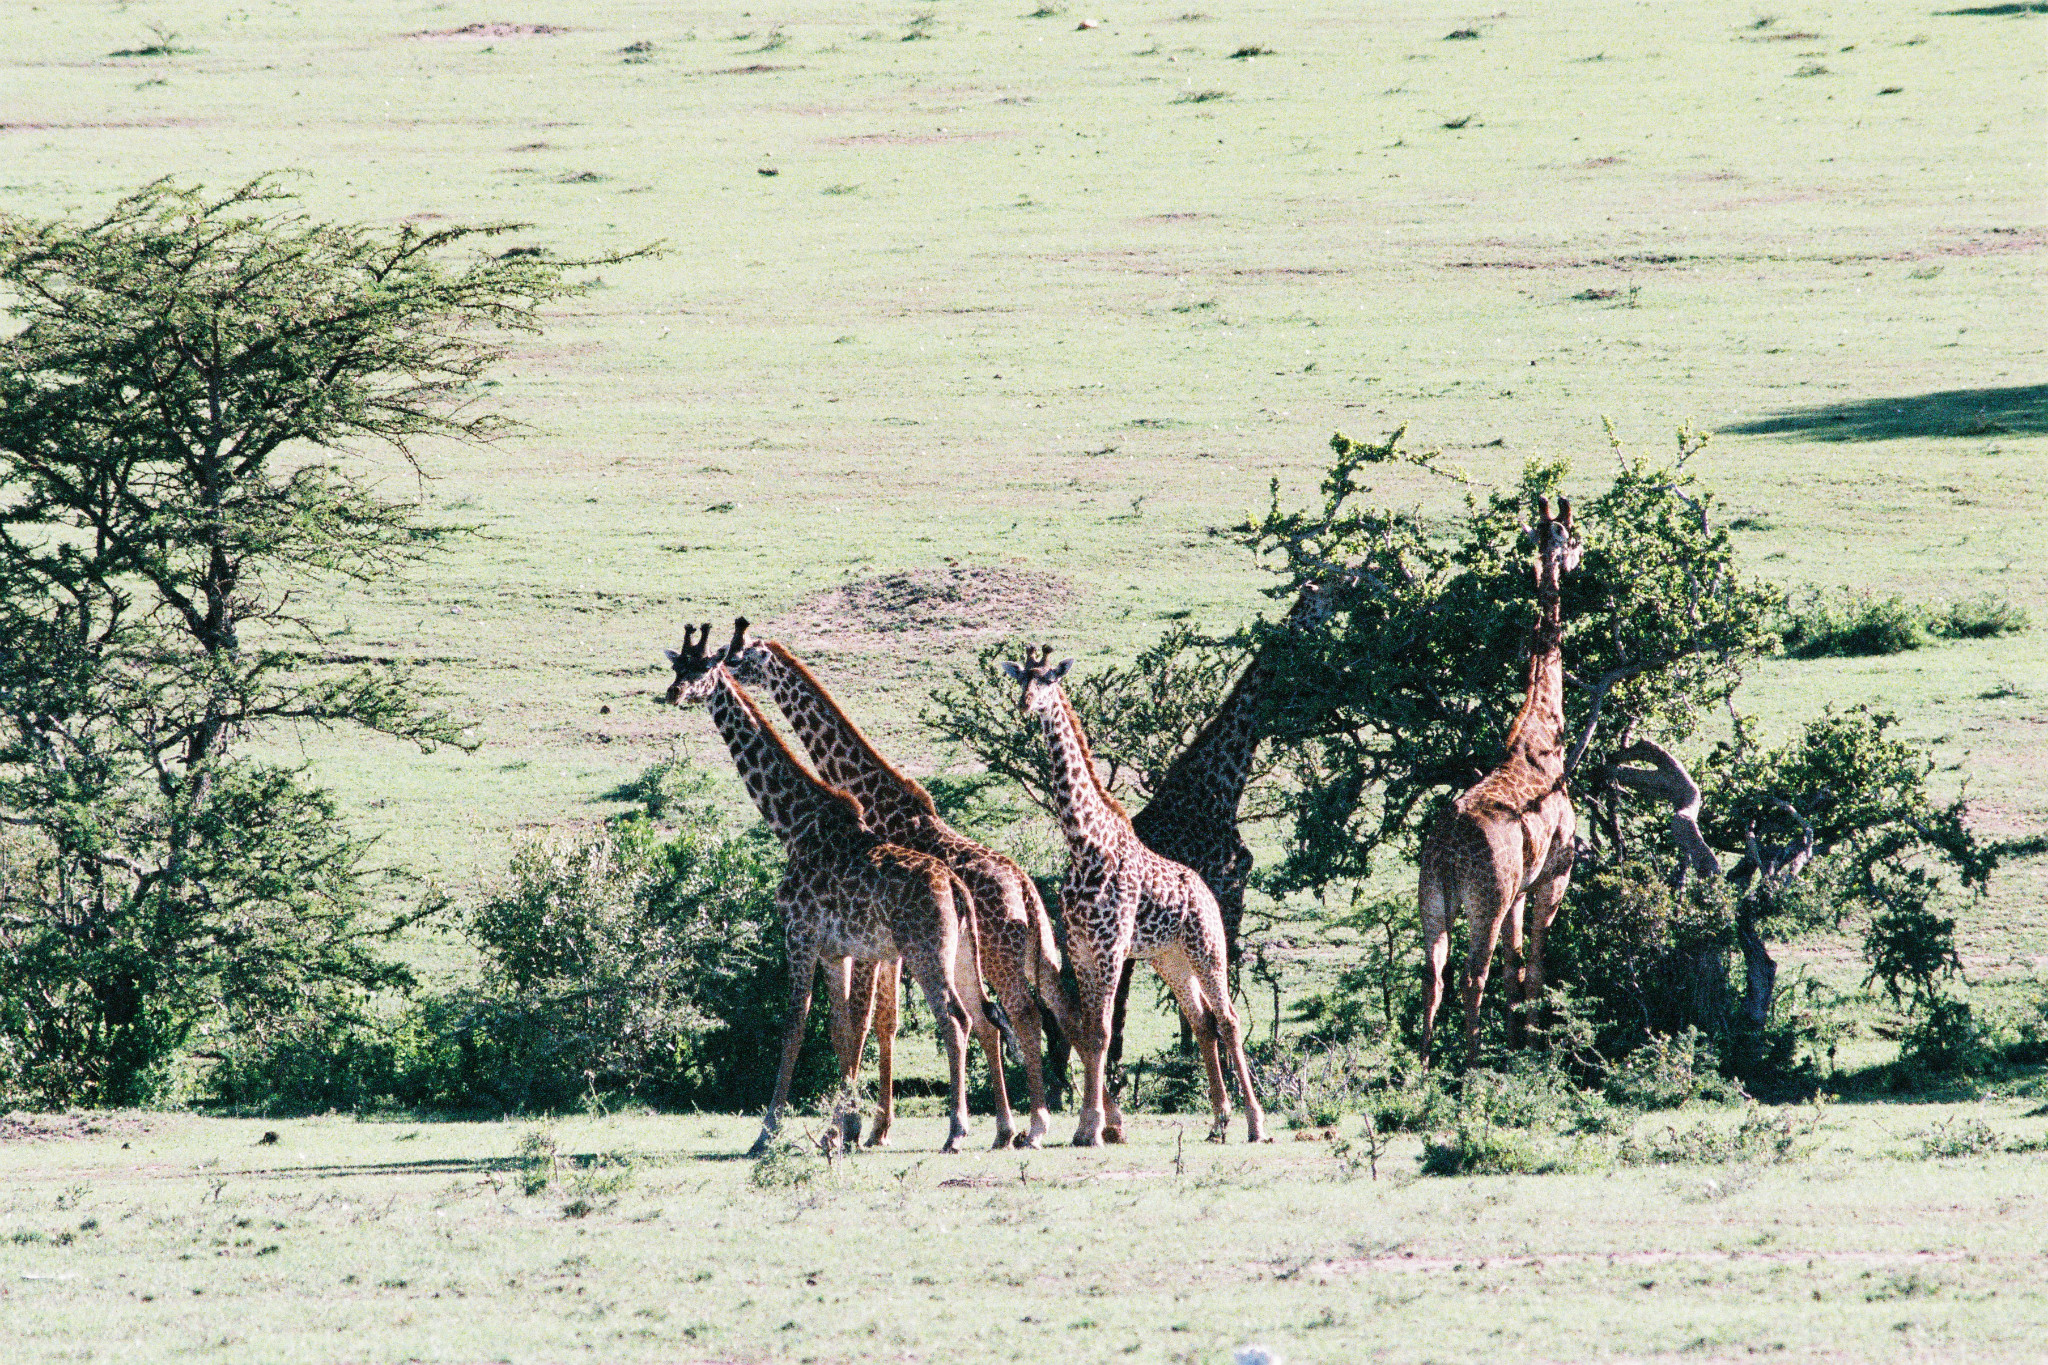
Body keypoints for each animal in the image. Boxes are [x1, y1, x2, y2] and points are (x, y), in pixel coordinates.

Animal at [724, 626, 1073, 1146]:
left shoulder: (875, 943)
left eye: (744, 657)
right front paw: (874, 1129)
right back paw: (1029, 1127)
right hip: (1029, 957)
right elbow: (884, 1024)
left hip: (995, 956)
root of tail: (1026, 890)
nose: (721, 663)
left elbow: (864, 1020)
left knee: (1020, 1017)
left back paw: (1032, 1127)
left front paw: (858, 1128)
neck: (873, 797)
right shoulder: (889, 948)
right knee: (1037, 1014)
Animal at [1003, 646, 1269, 1146]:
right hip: (1170, 959)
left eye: (1048, 679)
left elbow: (1103, 1033)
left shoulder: (1109, 949)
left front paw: (1091, 1128)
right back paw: (1218, 1121)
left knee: (1228, 1019)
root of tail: (1205, 890)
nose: (1027, 705)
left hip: (1208, 948)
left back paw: (1255, 1123)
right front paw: (1094, 1125)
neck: (1084, 842)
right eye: (1022, 680)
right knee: (1202, 1022)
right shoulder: (1081, 949)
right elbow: (1089, 1031)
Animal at [1417, 497, 1589, 1064]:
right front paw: (1532, 1048)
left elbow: (1516, 968)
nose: (1579, 558)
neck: (1541, 730)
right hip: (1483, 903)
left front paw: (1517, 1041)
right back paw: (1470, 1065)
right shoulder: (1554, 872)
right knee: (1475, 975)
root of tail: (1447, 852)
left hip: (1432, 900)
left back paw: (1423, 1065)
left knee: (1434, 974)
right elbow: (1533, 966)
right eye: (1573, 537)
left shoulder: (1518, 891)